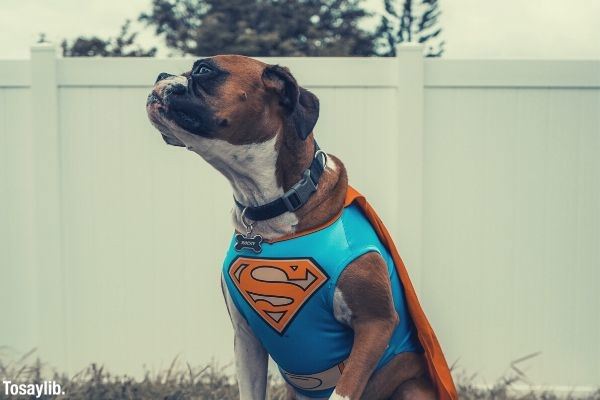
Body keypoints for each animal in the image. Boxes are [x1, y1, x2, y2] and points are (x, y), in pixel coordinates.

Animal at [145, 54, 454, 400]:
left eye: (203, 70)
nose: (160, 74)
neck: (271, 211)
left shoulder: (376, 325)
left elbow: (342, 392)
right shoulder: (246, 339)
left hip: (411, 387)